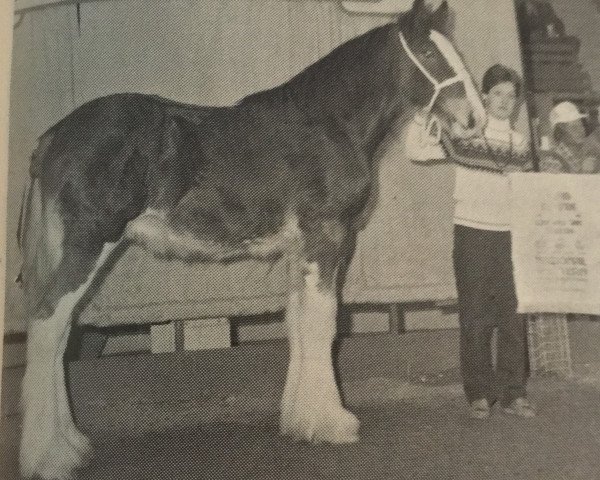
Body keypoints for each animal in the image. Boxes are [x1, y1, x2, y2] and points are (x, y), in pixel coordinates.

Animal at [16, 1, 486, 478]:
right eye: (428, 52)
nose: (475, 118)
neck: (329, 124)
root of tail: (55, 135)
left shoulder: (300, 248)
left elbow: (299, 323)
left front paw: (300, 422)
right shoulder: (327, 238)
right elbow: (323, 325)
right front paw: (334, 423)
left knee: (59, 333)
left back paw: (71, 444)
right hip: (87, 246)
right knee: (48, 324)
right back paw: (48, 457)